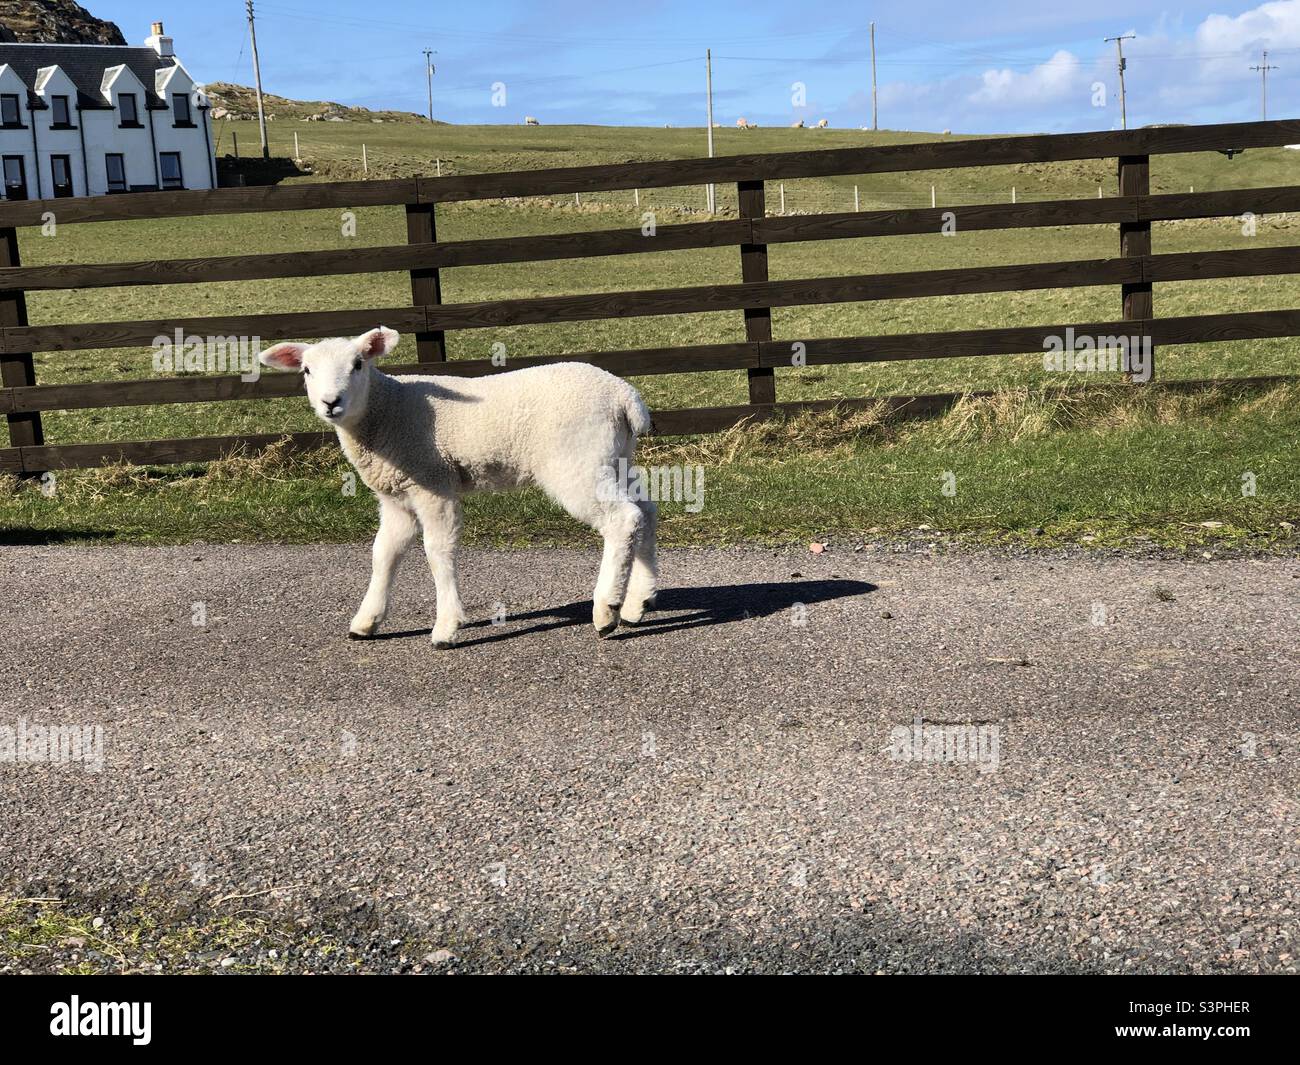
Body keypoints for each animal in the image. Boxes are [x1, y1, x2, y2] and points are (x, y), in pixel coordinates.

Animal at [258, 328, 659, 648]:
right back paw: (639, 601)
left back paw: (606, 610)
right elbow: (384, 554)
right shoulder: (397, 498)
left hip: (577, 461)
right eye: (307, 370)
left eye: (358, 364)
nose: (331, 403)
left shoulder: (433, 484)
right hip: (615, 458)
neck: (386, 410)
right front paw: (366, 621)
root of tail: (625, 396)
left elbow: (437, 551)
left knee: (622, 519)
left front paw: (446, 627)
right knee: (646, 511)